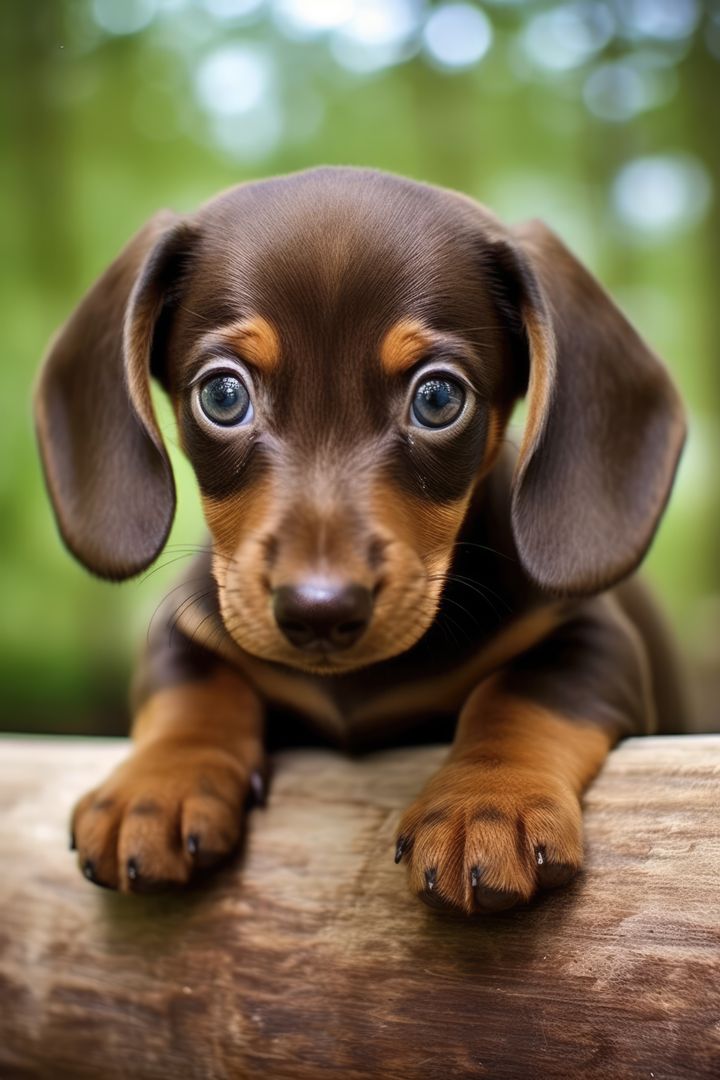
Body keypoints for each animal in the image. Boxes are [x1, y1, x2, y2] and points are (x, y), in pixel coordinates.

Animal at [35, 166, 686, 911]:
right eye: (222, 396)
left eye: (438, 399)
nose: (320, 612)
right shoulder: (190, 623)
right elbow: (188, 688)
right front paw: (158, 786)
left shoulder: (592, 634)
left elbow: (522, 693)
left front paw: (487, 803)